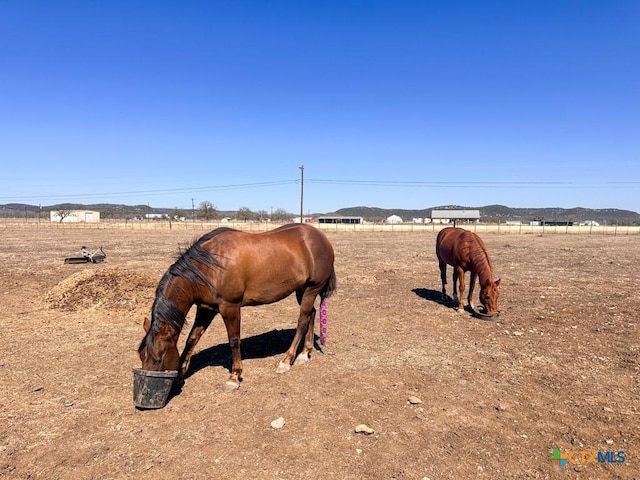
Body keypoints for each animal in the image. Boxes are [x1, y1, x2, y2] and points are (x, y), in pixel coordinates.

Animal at [138, 223, 338, 392]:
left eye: (158, 359)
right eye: (141, 356)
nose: (147, 387)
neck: (208, 266)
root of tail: (321, 237)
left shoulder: (230, 307)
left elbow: (234, 340)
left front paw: (234, 377)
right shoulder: (206, 309)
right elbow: (192, 339)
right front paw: (181, 372)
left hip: (312, 289)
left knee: (302, 321)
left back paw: (287, 361)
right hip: (302, 290)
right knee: (312, 314)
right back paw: (305, 353)